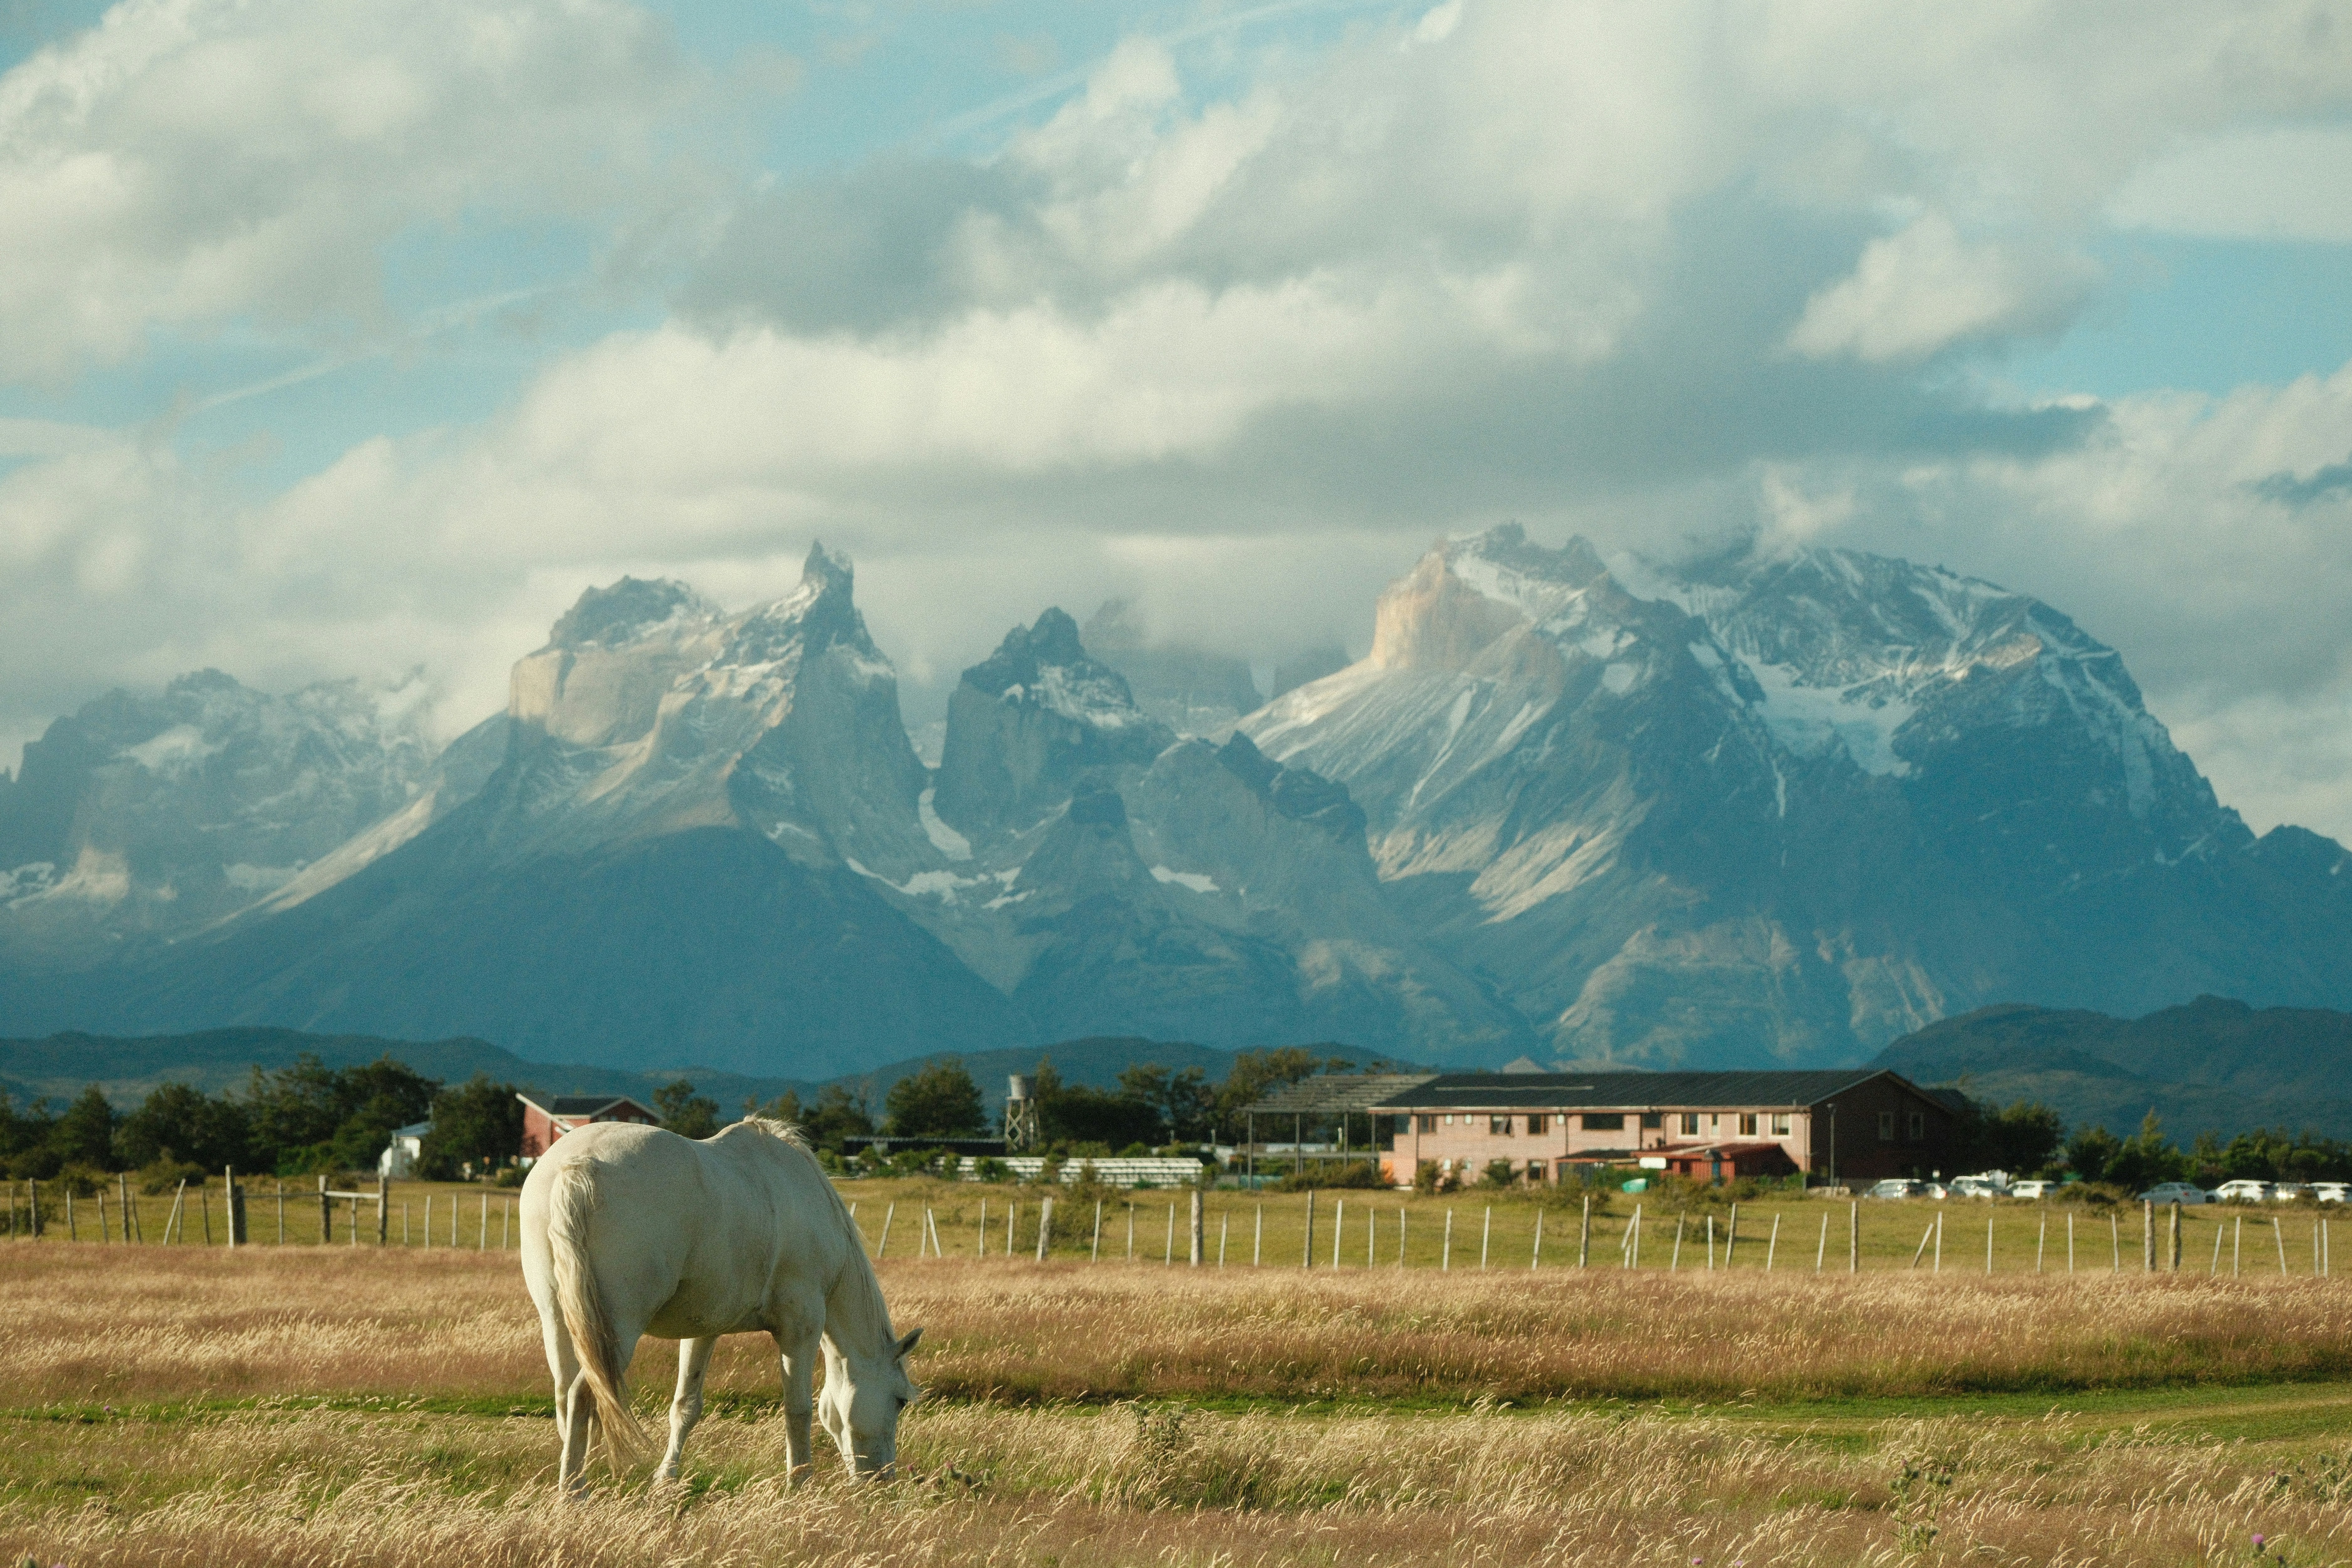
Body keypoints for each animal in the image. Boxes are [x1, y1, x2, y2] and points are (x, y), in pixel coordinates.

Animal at [518, 1116, 921, 1496]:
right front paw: (800, 1482)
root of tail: (578, 1164)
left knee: (564, 1396)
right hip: (617, 1329)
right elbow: (799, 1410)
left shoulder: (704, 1329)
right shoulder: (801, 1328)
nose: (883, 1480)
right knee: (582, 1394)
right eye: (900, 1400)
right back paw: (573, 1493)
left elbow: (686, 1406)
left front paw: (665, 1481)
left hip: (558, 1319)